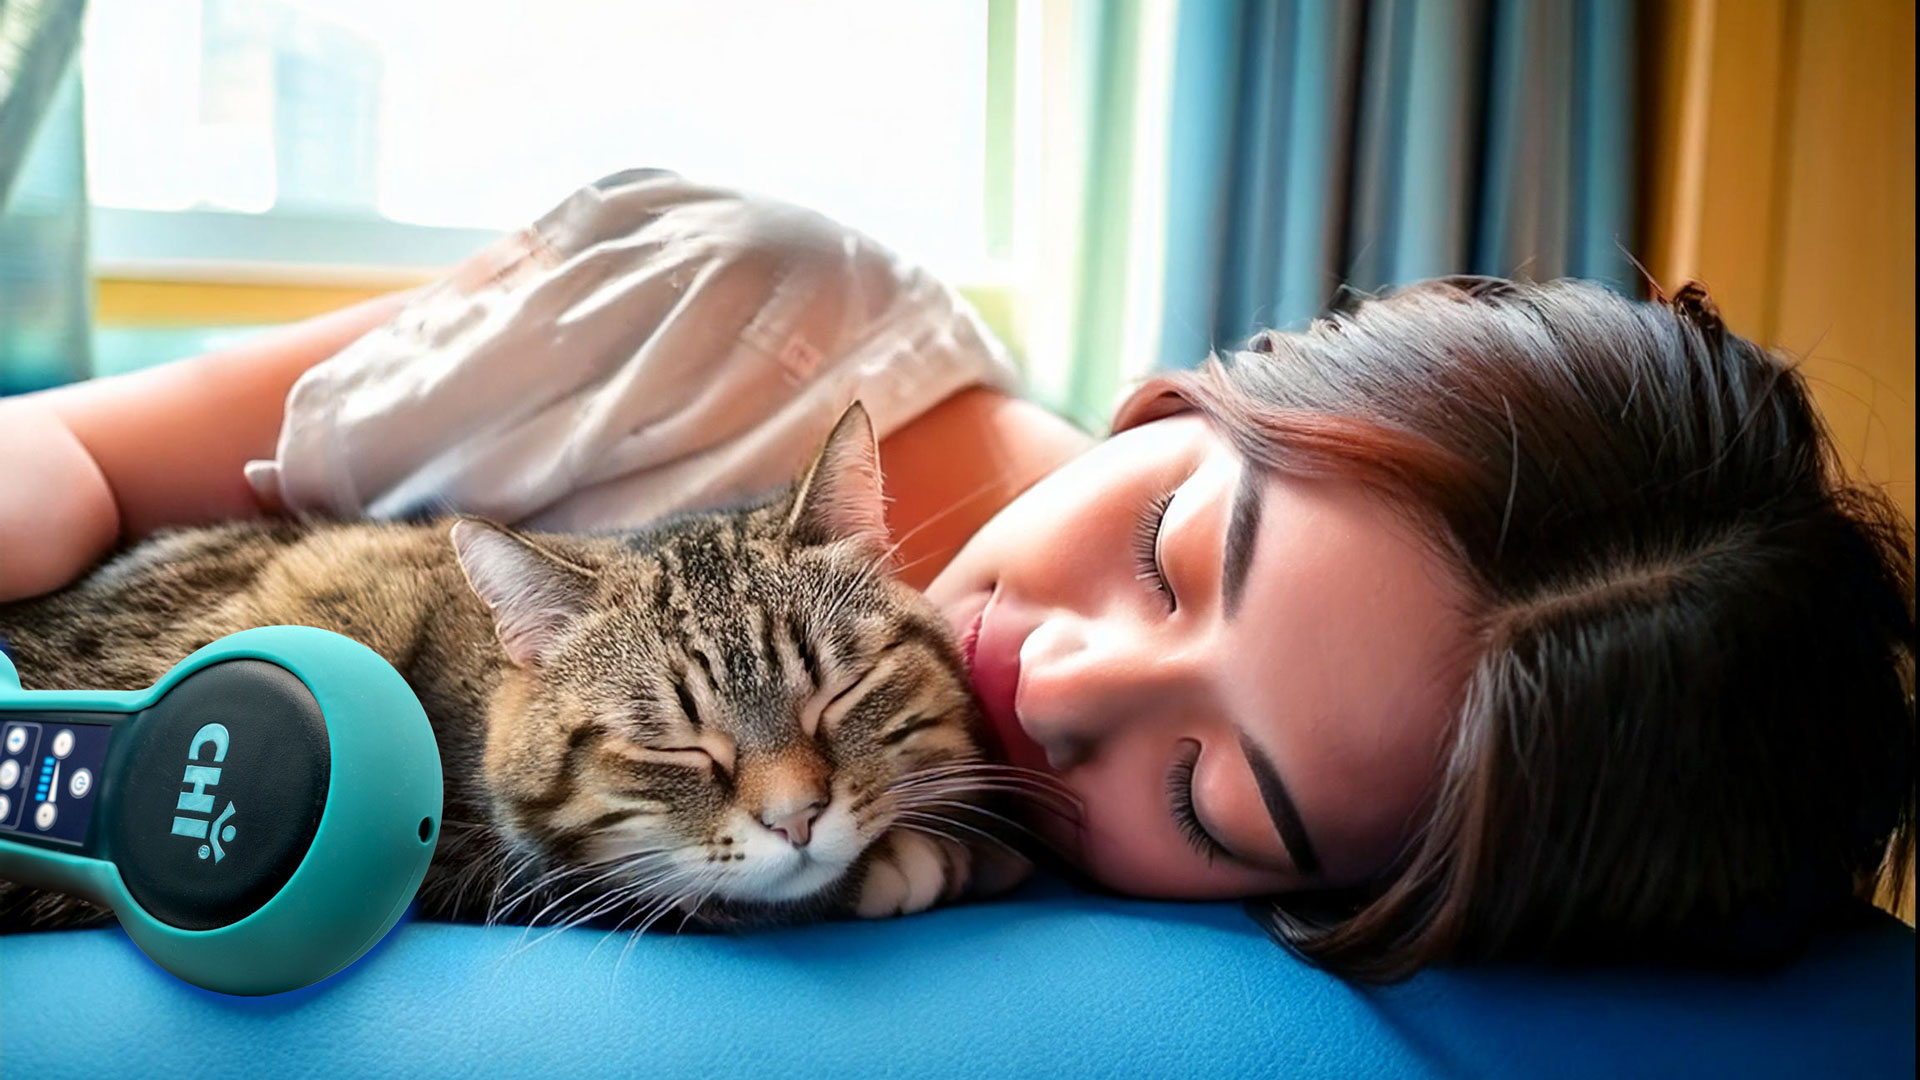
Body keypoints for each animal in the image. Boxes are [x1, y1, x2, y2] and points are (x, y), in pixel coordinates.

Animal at [0, 403, 1036, 933]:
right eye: (669, 745)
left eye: (841, 693)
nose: (796, 819)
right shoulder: (478, 872)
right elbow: (696, 896)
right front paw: (918, 859)